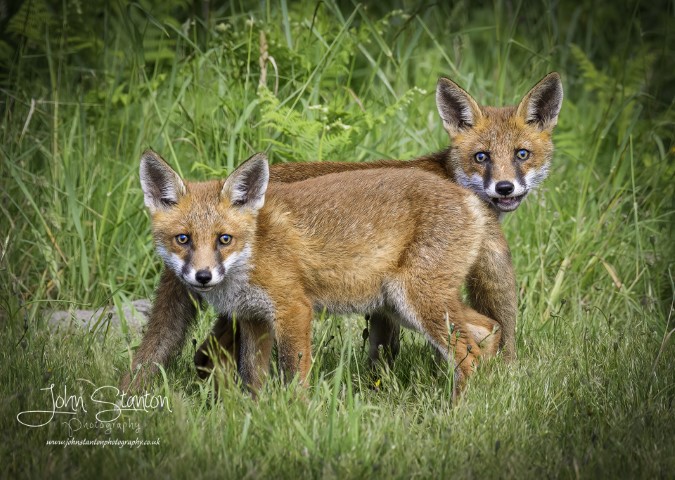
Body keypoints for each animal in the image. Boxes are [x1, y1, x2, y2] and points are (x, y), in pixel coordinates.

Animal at [121, 150, 509, 394]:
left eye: (223, 239)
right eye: (183, 239)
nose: (203, 276)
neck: (254, 251)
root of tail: (468, 198)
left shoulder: (293, 309)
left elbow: (294, 377)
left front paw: (297, 416)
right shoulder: (253, 318)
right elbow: (252, 379)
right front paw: (255, 417)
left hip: (416, 300)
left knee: (469, 356)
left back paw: (456, 413)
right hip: (402, 305)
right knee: (491, 329)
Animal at [192, 72, 563, 376]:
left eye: (521, 154)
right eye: (482, 157)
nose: (504, 188)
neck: (448, 175)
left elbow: (383, 350)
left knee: (207, 355)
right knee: (207, 355)